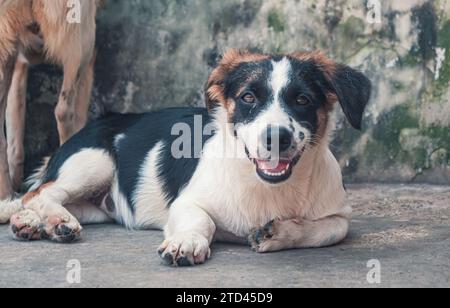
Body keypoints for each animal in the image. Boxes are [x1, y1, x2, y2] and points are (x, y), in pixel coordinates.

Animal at [0, 0, 103, 200]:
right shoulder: (89, 56)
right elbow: (80, 115)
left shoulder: (18, 62)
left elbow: (14, 138)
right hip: (80, 43)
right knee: (64, 112)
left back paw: (6, 196)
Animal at [0, 49, 372, 266]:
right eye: (248, 97)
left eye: (303, 100)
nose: (276, 137)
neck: (267, 187)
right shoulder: (187, 202)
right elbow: (201, 220)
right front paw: (187, 242)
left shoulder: (340, 215)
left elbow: (326, 230)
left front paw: (276, 233)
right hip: (94, 162)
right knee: (39, 193)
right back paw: (52, 220)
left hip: (98, 207)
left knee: (46, 201)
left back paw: (33, 223)